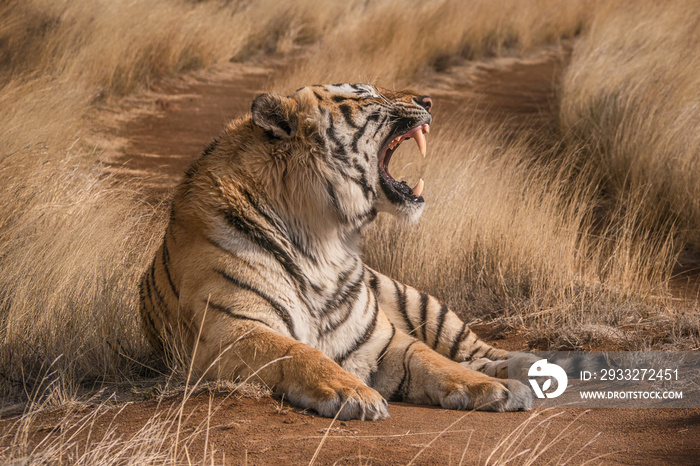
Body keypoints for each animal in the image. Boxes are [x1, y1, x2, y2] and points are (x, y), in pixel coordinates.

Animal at [139, 82, 532, 420]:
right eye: (366, 94)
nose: (428, 100)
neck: (325, 238)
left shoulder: (381, 338)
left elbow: (434, 360)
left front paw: (498, 388)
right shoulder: (232, 330)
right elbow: (301, 352)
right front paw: (354, 393)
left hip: (418, 301)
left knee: (476, 351)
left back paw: (527, 365)